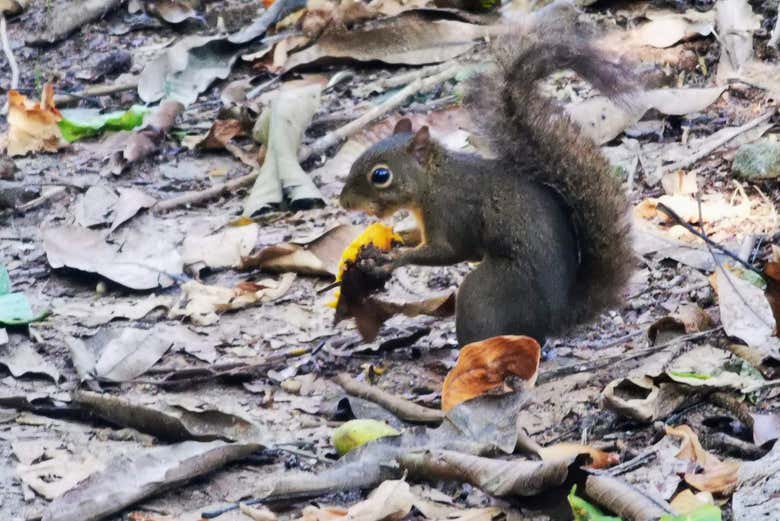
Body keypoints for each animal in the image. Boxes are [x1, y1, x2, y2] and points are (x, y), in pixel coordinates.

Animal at [336, 7, 632, 346]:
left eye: (381, 175)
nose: (344, 202)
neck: (434, 182)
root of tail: (556, 318)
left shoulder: (452, 212)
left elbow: (449, 251)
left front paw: (390, 261)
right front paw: (394, 242)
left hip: (487, 292)